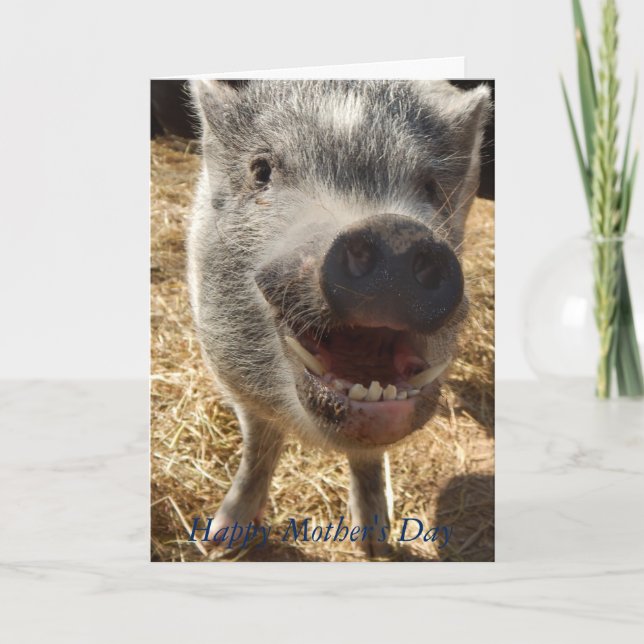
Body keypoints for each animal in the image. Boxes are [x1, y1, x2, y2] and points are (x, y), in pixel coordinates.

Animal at [187, 80, 490, 557]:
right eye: (261, 171)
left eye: (429, 187)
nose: (394, 231)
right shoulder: (234, 383)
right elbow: (258, 446)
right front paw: (218, 542)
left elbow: (368, 456)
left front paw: (377, 545)